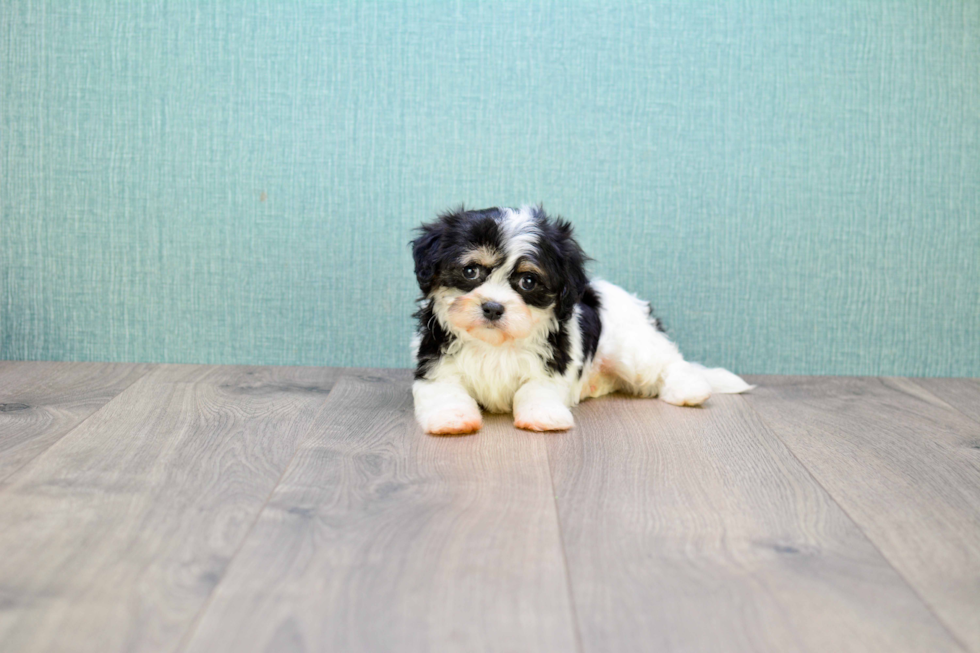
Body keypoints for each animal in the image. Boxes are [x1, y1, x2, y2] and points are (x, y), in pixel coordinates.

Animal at [410, 206, 756, 436]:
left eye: (528, 281)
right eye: (470, 271)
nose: (493, 307)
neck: (495, 344)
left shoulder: (552, 365)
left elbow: (534, 389)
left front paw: (544, 415)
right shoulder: (435, 365)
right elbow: (445, 391)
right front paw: (451, 419)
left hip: (632, 350)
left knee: (669, 363)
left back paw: (689, 390)